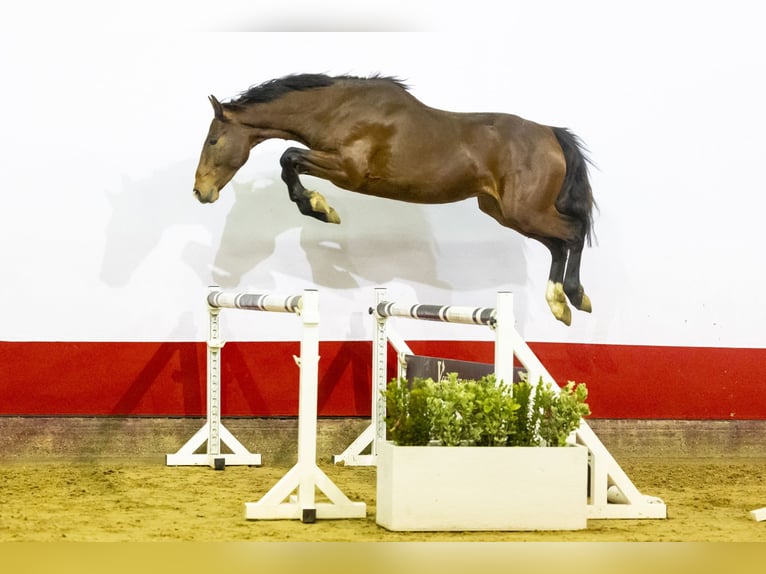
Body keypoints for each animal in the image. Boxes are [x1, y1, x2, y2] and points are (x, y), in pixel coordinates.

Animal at [194, 73, 600, 324]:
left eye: (213, 140)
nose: (200, 192)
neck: (339, 110)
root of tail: (551, 133)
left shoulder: (348, 171)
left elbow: (289, 157)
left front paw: (321, 209)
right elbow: (289, 161)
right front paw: (320, 209)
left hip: (524, 211)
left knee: (573, 233)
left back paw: (575, 296)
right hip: (504, 212)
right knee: (559, 243)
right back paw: (559, 303)